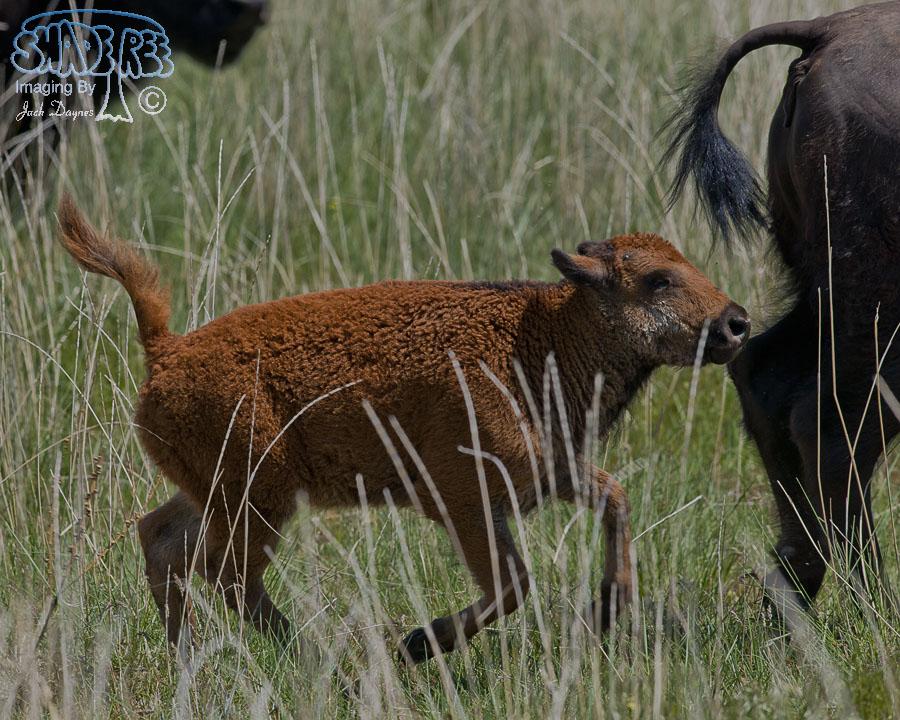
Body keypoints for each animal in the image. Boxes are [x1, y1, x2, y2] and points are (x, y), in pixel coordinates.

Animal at [664, 1, 900, 619]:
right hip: (876, 316)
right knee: (833, 431)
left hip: (822, 298)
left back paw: (792, 592)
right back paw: (875, 608)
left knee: (766, 380)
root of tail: (826, 31)